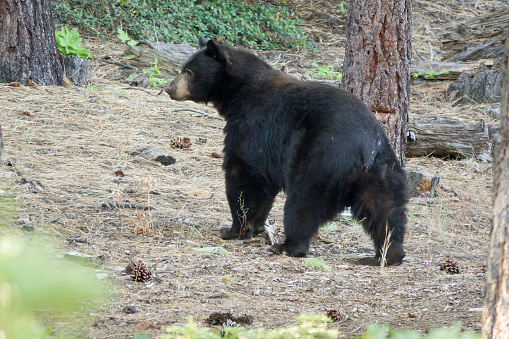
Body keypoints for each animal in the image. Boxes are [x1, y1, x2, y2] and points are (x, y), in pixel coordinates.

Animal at [169, 36, 406, 266]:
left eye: (188, 71)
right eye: (183, 67)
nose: (170, 88)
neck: (239, 92)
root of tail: (365, 145)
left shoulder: (254, 124)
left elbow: (245, 173)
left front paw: (234, 229)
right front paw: (255, 226)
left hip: (322, 157)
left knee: (303, 201)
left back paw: (288, 246)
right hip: (381, 170)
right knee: (384, 209)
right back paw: (386, 255)